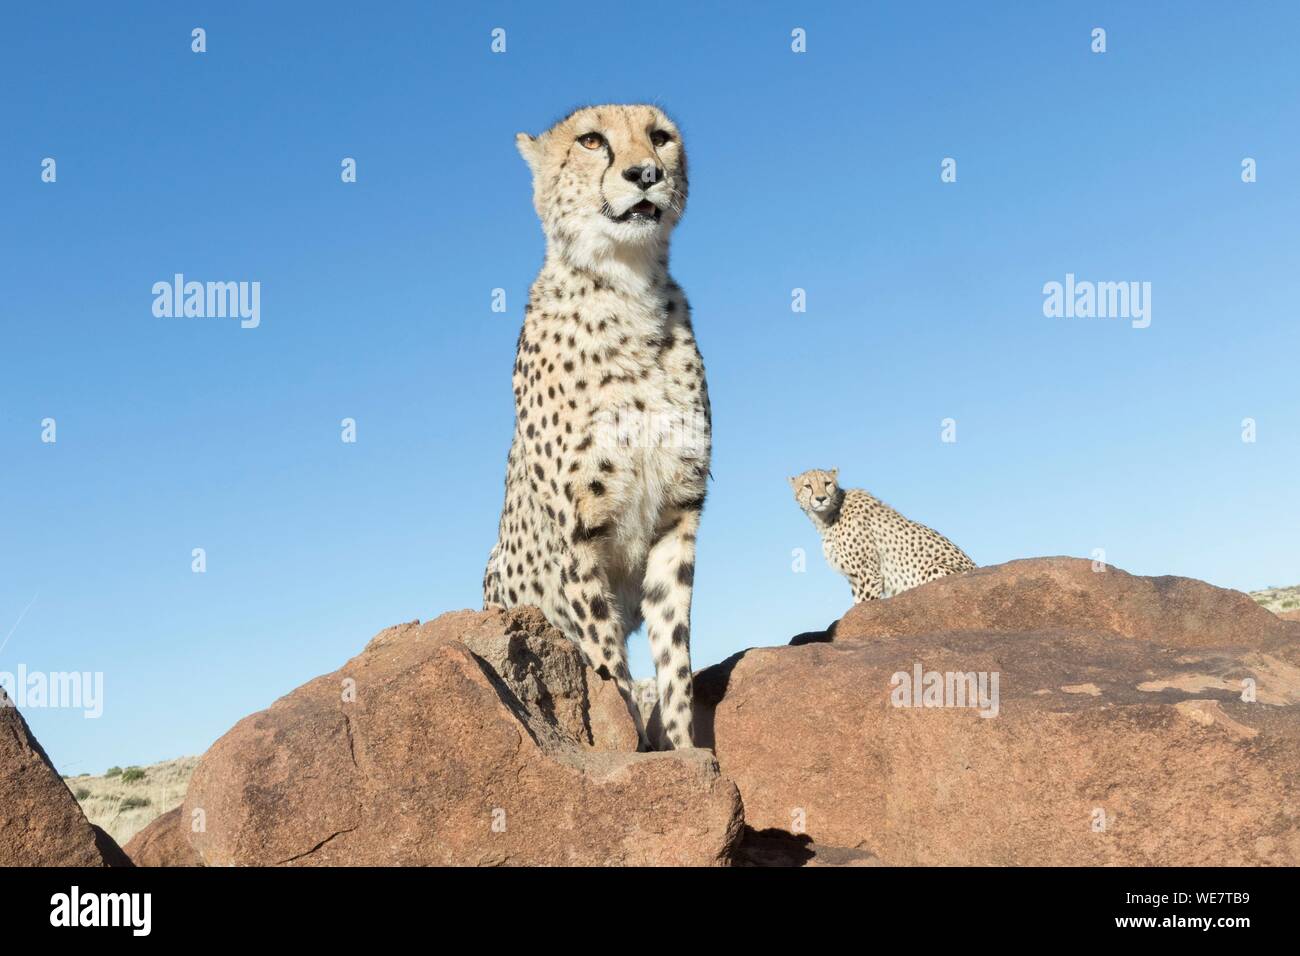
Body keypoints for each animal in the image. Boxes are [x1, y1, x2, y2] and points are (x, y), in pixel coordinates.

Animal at [483, 102, 712, 749]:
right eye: (591, 141)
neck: (628, 290)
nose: (646, 174)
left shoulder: (678, 516)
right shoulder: (578, 535)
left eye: (661, 137)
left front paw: (683, 749)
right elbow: (607, 663)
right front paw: (634, 746)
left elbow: (675, 654)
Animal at [790, 468, 977, 600]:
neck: (828, 517)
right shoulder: (855, 579)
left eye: (827, 483)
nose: (821, 498)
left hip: (932, 569)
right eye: (808, 486)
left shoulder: (868, 575)